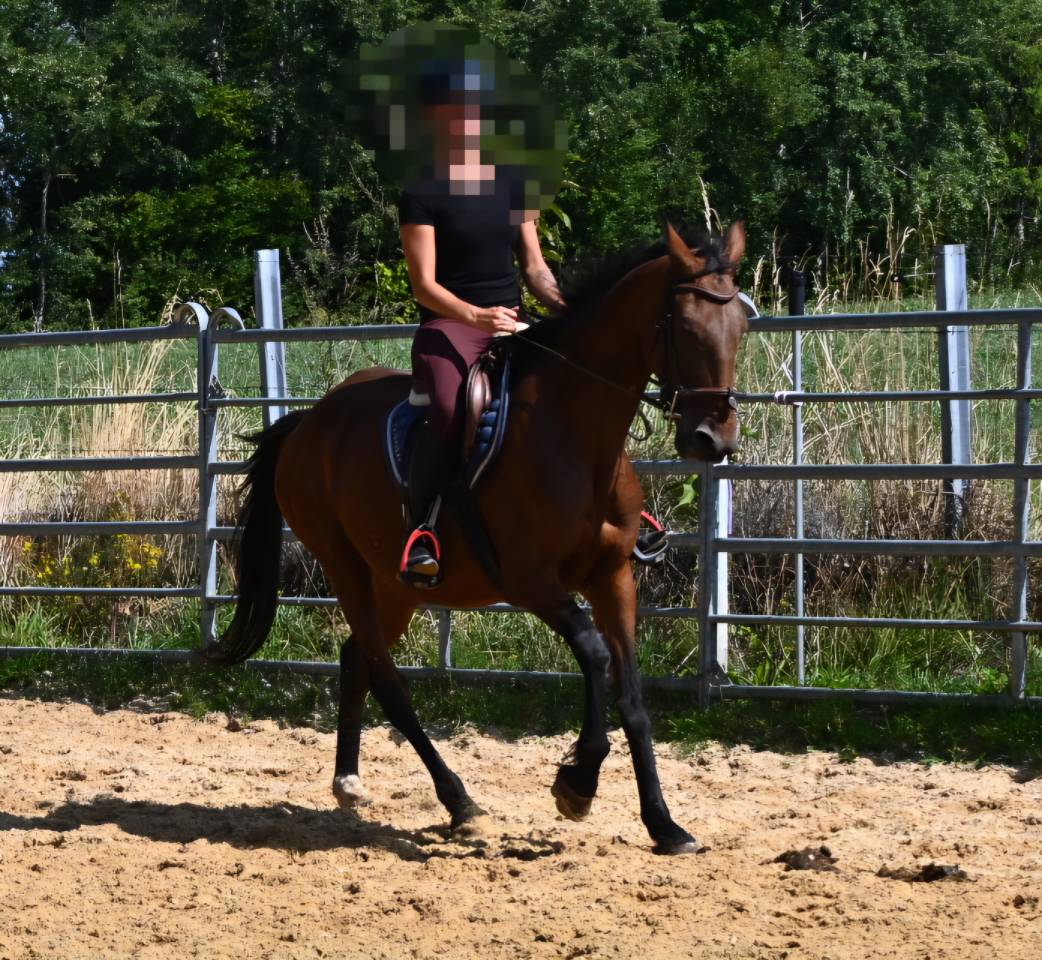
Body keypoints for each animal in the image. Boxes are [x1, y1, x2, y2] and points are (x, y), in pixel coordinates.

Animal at [200, 221, 749, 854]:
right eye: (684, 327)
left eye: (741, 326)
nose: (713, 439)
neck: (575, 438)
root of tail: (306, 423)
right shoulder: (530, 581)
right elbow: (592, 654)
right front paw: (577, 784)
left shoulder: (613, 577)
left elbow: (632, 697)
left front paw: (664, 824)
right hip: (344, 568)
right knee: (386, 677)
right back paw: (459, 802)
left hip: (395, 584)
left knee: (357, 657)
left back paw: (349, 781)